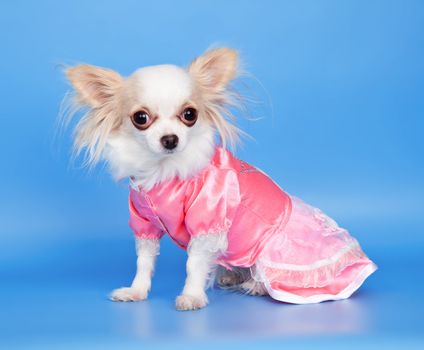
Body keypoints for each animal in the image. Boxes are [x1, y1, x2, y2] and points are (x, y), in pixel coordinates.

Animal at [62, 47, 374, 310]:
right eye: (141, 118)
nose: (170, 139)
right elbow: (144, 262)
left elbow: (194, 265)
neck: (165, 172)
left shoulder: (208, 222)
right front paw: (136, 292)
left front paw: (191, 296)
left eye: (189, 114)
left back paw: (255, 285)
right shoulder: (144, 224)